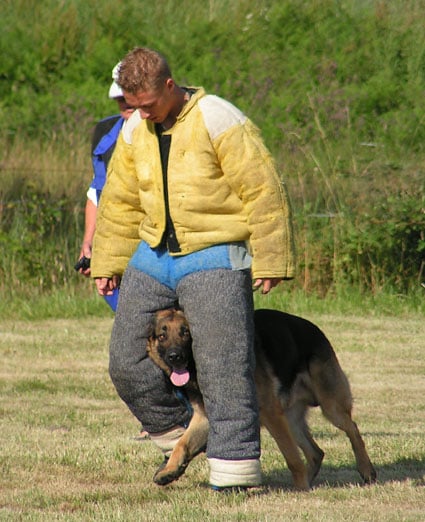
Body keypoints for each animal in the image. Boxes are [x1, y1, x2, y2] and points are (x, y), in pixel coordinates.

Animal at [147, 306, 374, 486]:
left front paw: (300, 490)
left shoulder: (270, 413)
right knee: (316, 453)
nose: (174, 357)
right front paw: (169, 471)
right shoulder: (205, 418)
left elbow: (290, 455)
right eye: (162, 336)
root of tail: (315, 329)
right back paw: (309, 482)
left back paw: (365, 470)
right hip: (291, 420)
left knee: (352, 429)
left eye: (185, 333)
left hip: (329, 407)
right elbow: (181, 444)